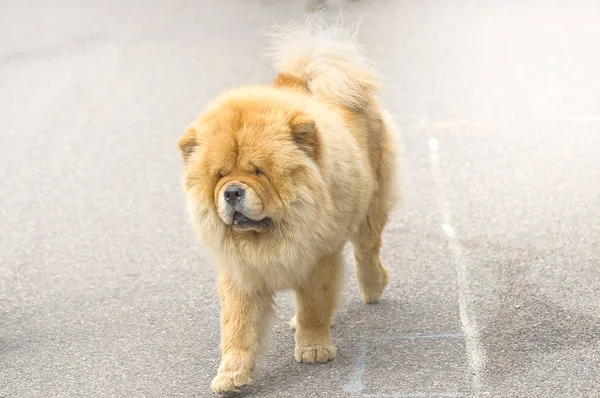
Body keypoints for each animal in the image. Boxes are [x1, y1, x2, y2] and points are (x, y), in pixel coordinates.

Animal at [179, 16, 404, 394]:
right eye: (220, 175)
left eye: (258, 171)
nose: (232, 192)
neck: (269, 236)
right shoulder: (240, 273)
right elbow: (237, 328)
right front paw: (231, 376)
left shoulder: (318, 259)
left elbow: (315, 304)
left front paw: (314, 349)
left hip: (369, 208)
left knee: (366, 251)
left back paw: (374, 286)